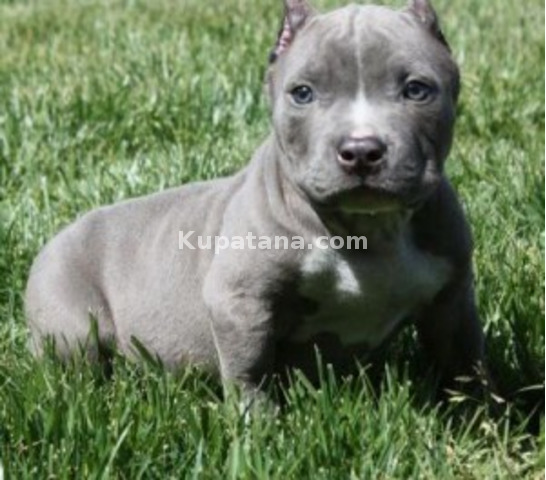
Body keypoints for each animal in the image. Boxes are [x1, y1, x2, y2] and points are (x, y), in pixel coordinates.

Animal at [25, 0, 486, 401]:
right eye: (302, 93)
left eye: (416, 90)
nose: (360, 150)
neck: (368, 231)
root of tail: (60, 234)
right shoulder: (239, 301)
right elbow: (251, 373)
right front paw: (258, 430)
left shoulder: (453, 300)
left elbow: (465, 364)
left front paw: (479, 416)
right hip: (71, 325)